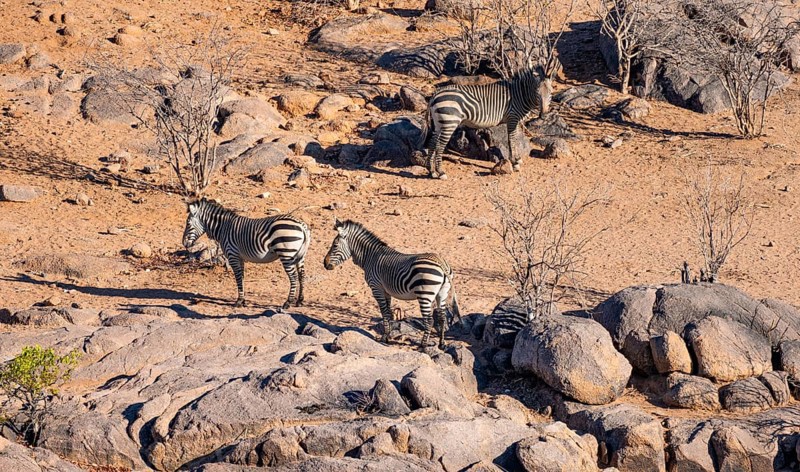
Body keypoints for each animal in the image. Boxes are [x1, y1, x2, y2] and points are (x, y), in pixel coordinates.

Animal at [182, 198, 311, 310]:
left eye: (188, 223)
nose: (184, 243)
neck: (224, 228)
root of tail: (302, 225)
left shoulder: (232, 255)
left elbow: (238, 277)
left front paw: (239, 301)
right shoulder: (240, 257)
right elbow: (242, 277)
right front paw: (243, 300)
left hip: (286, 254)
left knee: (293, 277)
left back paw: (287, 302)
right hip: (300, 256)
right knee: (301, 275)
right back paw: (300, 301)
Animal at [323, 218, 460, 349]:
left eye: (335, 245)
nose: (325, 264)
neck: (370, 257)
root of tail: (441, 263)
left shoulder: (376, 288)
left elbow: (384, 312)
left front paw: (384, 338)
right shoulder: (386, 291)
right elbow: (389, 313)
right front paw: (388, 335)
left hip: (424, 294)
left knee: (429, 320)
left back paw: (423, 345)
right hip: (442, 293)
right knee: (442, 318)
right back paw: (441, 344)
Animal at [418, 65, 552, 179]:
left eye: (550, 93)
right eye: (537, 93)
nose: (543, 115)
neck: (520, 94)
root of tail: (435, 94)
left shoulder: (516, 120)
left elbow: (515, 139)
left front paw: (517, 159)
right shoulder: (512, 118)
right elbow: (512, 140)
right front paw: (515, 163)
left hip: (439, 123)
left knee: (432, 143)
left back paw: (432, 171)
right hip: (449, 122)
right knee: (439, 145)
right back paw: (441, 172)